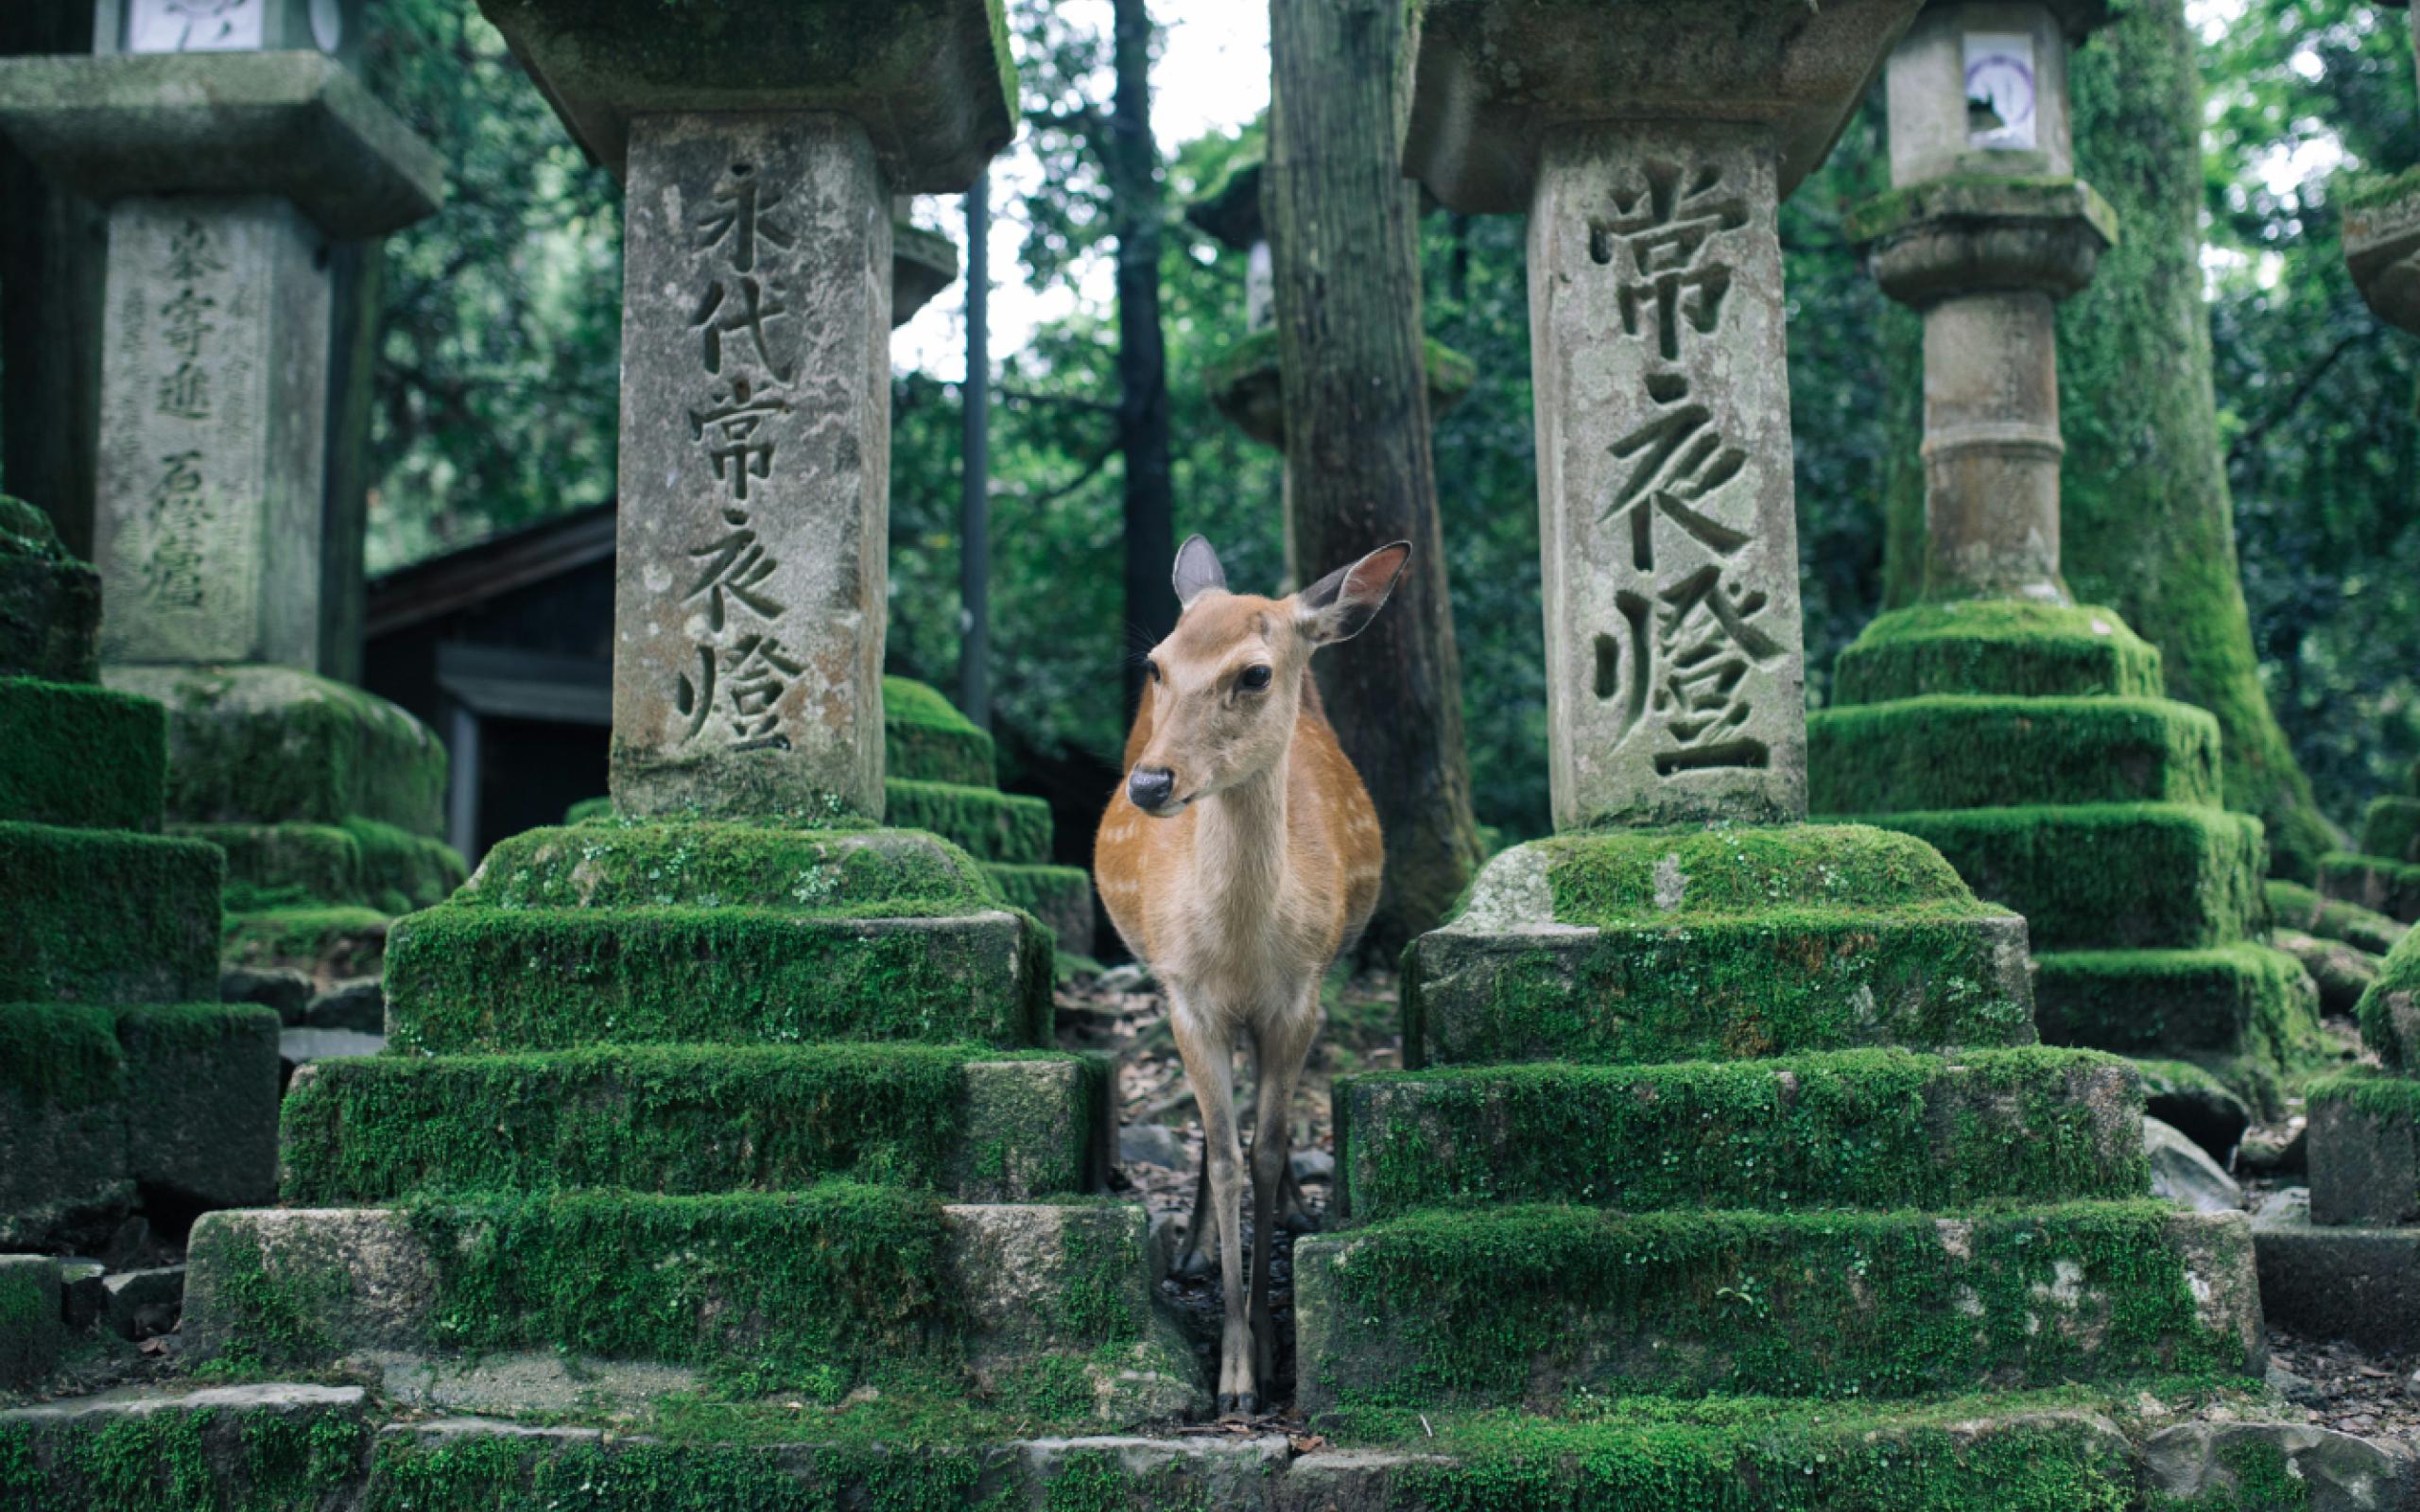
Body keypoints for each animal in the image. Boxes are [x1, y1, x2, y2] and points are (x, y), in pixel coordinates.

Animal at [1094, 534, 1409, 1417]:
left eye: (1256, 673)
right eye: (1157, 665)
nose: (1150, 783)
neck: (1238, 951)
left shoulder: (1298, 996)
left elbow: (1266, 1151)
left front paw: (1269, 1357)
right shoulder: (1186, 996)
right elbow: (1230, 1154)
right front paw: (1231, 1375)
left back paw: (1299, 1213)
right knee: (1211, 1133)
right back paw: (1194, 1249)